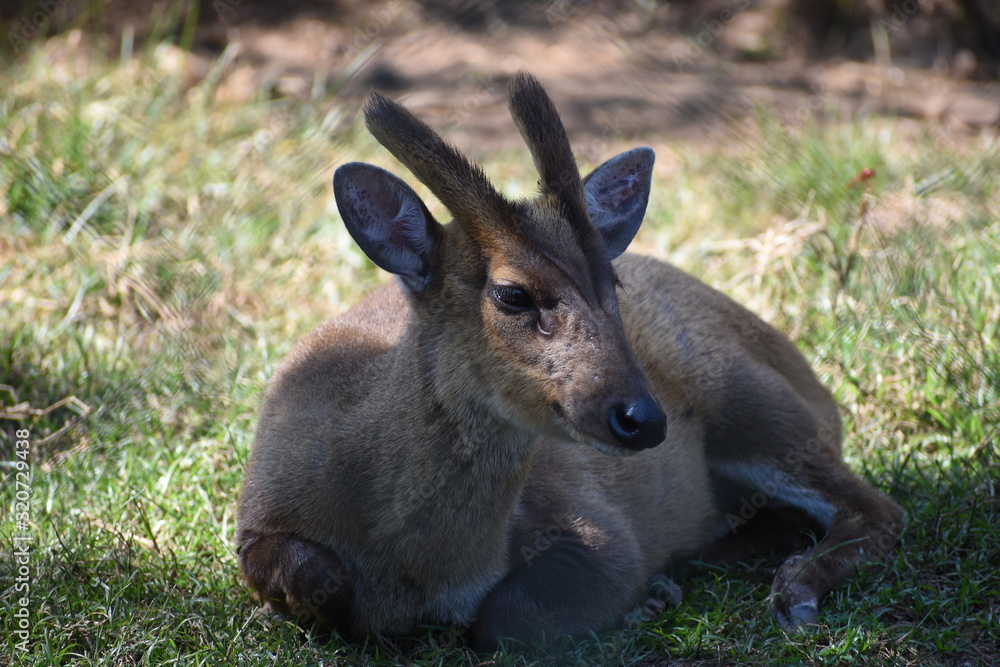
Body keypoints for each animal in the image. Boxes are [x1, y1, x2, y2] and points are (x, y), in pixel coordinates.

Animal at [235, 72, 904, 652]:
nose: (643, 419)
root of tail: (811, 377)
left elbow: (504, 618)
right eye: (512, 294)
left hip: (752, 402)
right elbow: (315, 578)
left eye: (613, 282)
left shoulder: (595, 523)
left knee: (878, 508)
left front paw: (645, 599)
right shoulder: (254, 519)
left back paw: (790, 591)